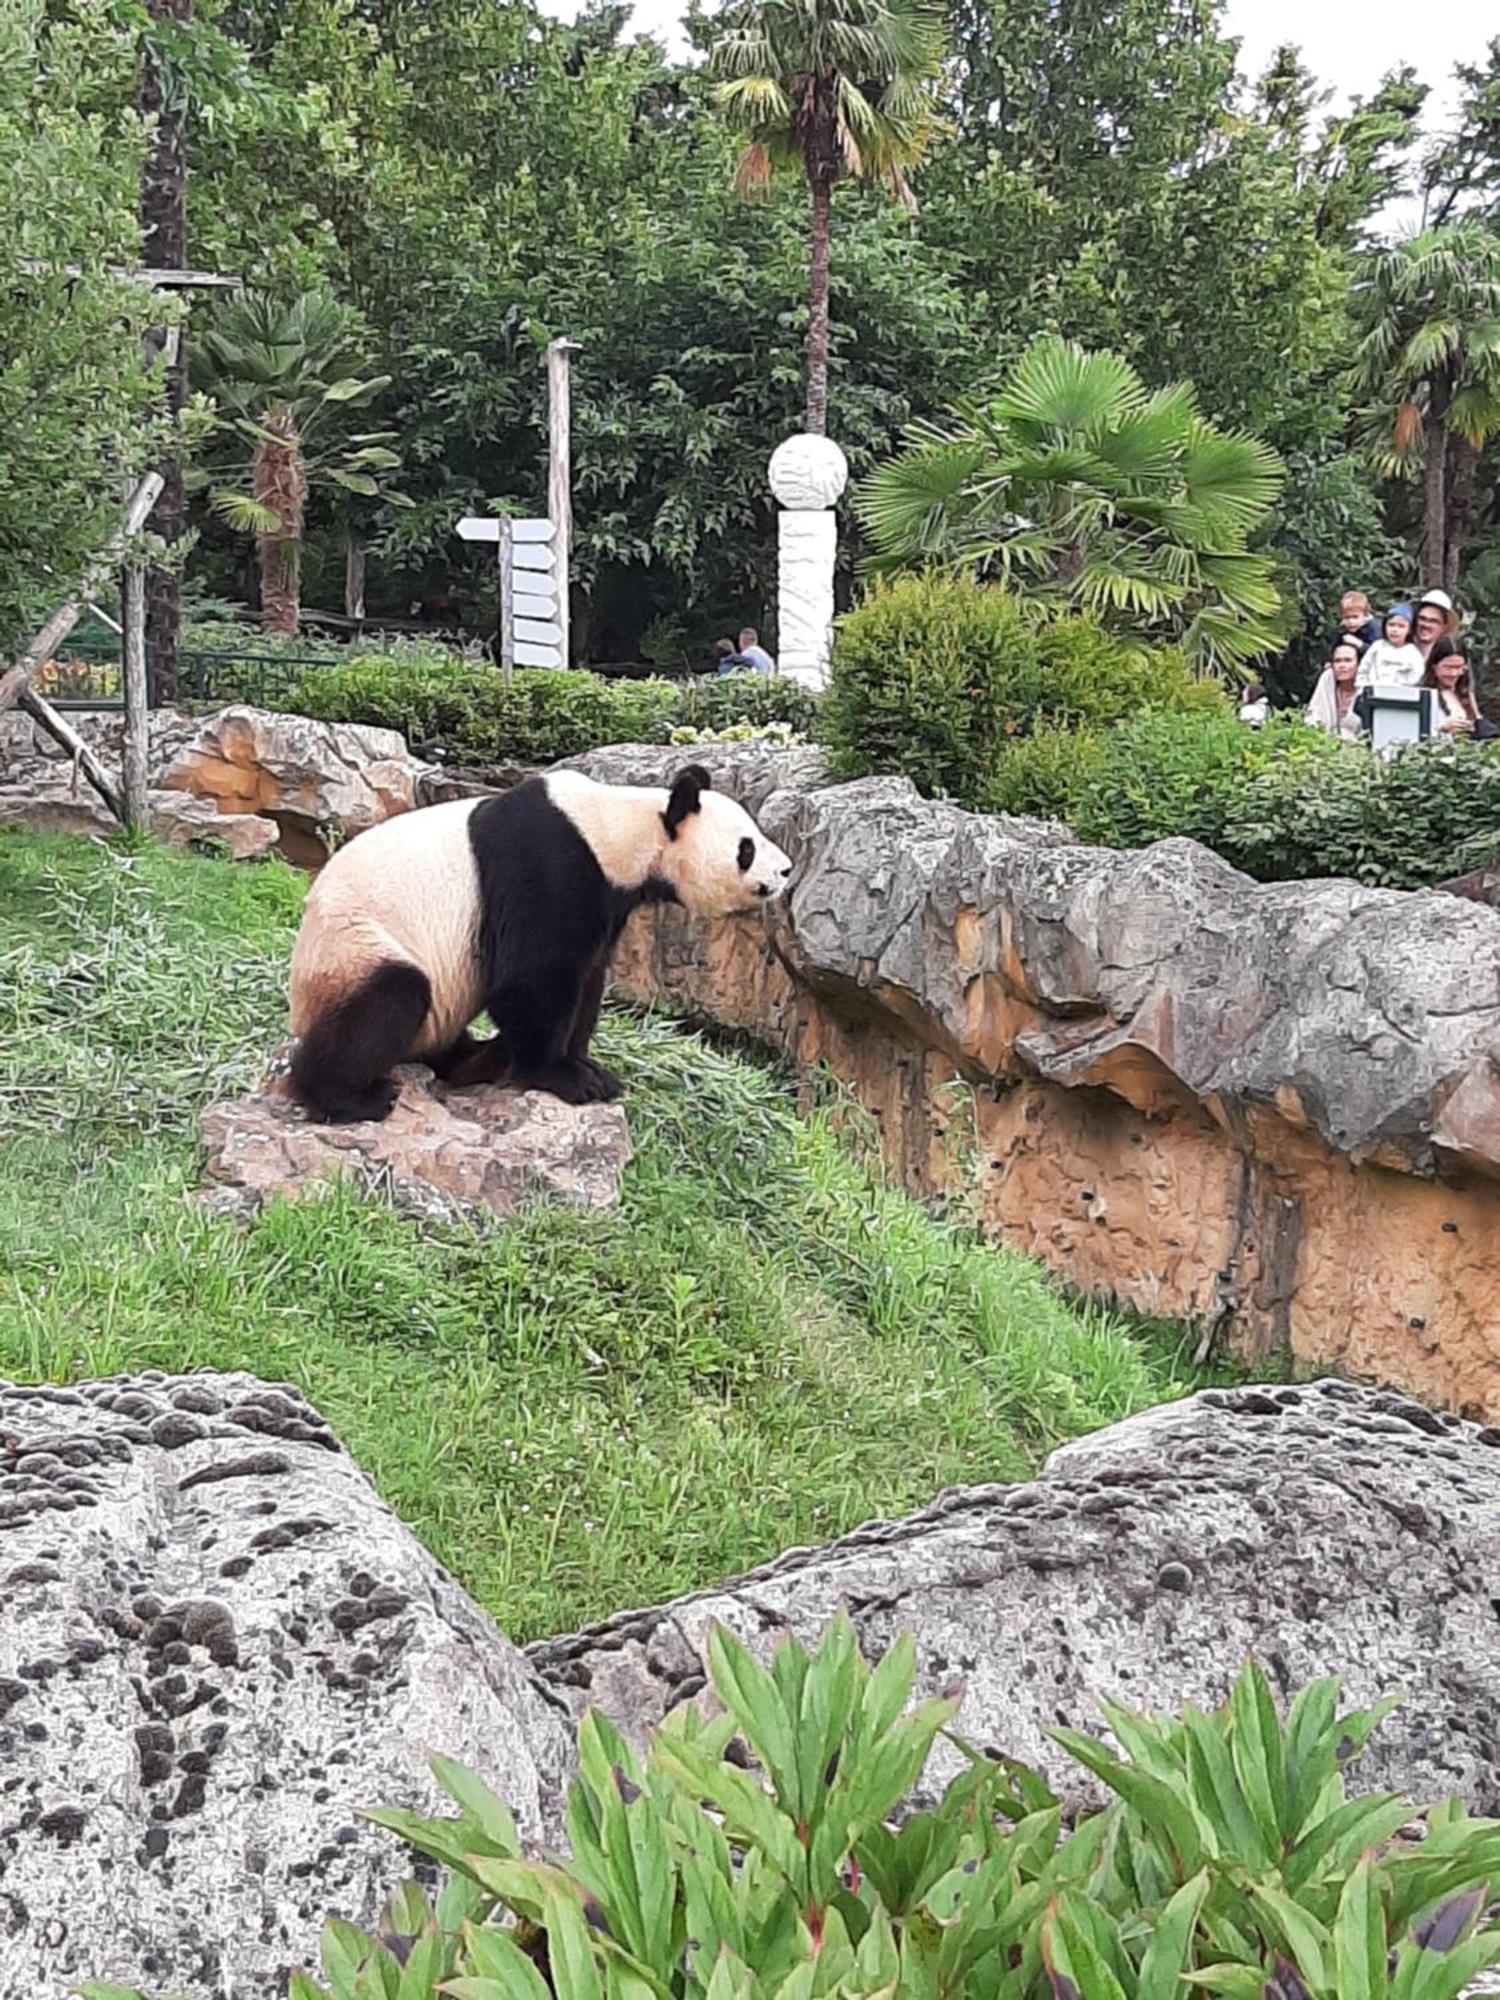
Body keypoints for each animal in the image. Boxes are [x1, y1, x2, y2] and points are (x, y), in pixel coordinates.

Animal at [286, 760, 792, 1120]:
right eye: (747, 848)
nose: (787, 870)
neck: (618, 830)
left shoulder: (606, 900)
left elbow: (587, 978)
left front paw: (590, 1068)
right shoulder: (548, 864)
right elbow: (533, 978)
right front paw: (564, 1077)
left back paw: (485, 1058)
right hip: (356, 949)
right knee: (386, 1001)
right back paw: (349, 1097)